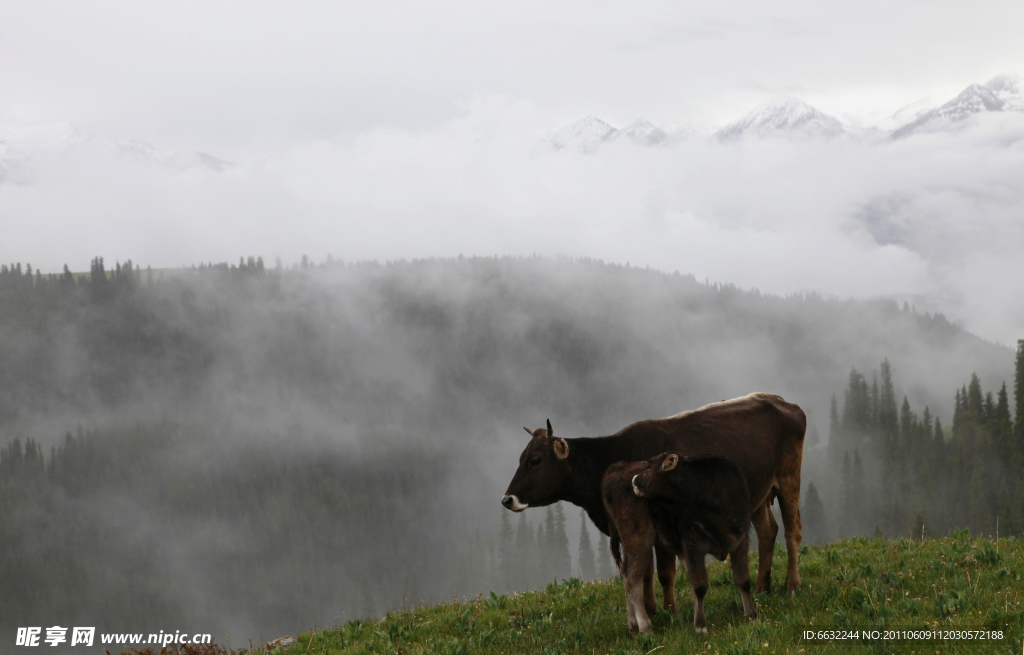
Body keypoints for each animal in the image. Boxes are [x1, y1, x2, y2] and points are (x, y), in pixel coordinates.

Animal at [499, 390, 802, 601]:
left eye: (535, 460)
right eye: (520, 458)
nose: (507, 499)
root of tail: (781, 401)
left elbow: (664, 573)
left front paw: (669, 612)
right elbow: (644, 573)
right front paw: (652, 609)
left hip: (789, 477)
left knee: (792, 533)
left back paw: (792, 587)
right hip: (757, 493)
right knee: (768, 532)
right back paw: (762, 588)